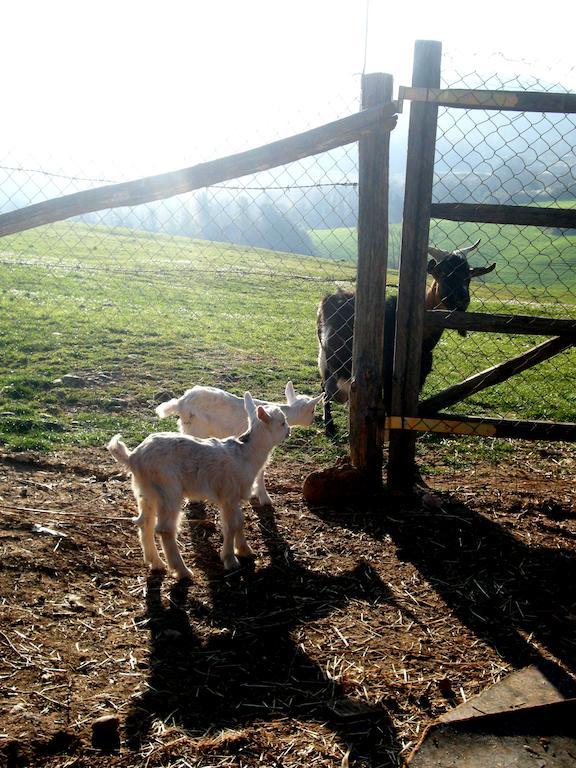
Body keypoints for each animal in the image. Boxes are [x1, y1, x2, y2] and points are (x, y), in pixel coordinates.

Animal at [316, 240, 496, 436]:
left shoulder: (419, 377)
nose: (462, 300)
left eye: (468, 276)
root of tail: (329, 297)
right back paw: (329, 426)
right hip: (325, 357)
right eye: (442, 273)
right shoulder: (387, 376)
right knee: (325, 388)